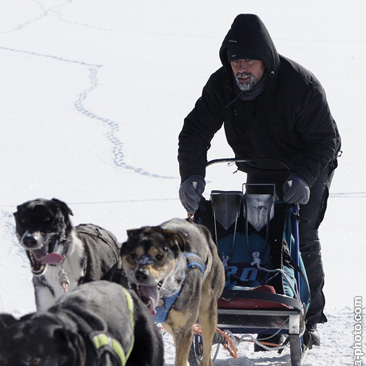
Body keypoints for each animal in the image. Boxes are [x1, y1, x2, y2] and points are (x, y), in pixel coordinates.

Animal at [121, 217, 223, 366]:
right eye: (134, 255)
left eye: (159, 256)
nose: (141, 274)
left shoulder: (184, 331)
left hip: (207, 311)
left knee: (206, 352)